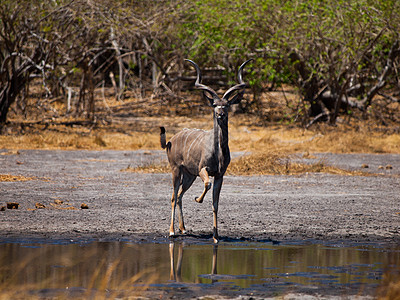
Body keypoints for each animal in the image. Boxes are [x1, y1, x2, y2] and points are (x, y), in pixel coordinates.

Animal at [160, 58, 252, 244]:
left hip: (189, 175)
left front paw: (216, 237)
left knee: (179, 195)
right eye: (215, 105)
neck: (218, 151)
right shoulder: (204, 169)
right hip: (176, 170)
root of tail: (170, 141)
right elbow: (207, 185)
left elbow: (215, 203)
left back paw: (183, 229)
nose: (220, 114)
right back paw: (172, 231)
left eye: (227, 105)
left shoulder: (220, 174)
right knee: (173, 196)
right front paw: (197, 199)